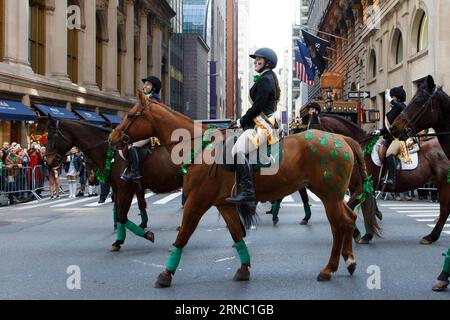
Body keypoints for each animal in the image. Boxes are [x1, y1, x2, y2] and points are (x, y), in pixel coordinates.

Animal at [44, 119, 181, 251]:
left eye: (51, 137)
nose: (47, 161)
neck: (110, 153)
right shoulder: (118, 188)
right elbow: (121, 210)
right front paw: (119, 239)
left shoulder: (126, 189)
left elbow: (122, 215)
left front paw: (144, 235)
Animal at [109, 92, 380, 288]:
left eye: (131, 115)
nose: (112, 138)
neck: (201, 147)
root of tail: (342, 139)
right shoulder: (223, 203)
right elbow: (236, 234)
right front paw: (243, 268)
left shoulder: (196, 201)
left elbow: (183, 235)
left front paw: (166, 273)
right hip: (333, 195)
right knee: (349, 219)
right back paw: (348, 260)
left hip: (329, 195)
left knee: (339, 224)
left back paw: (329, 268)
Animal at [314, 112, 450, 245]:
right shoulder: (361, 189)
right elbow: (362, 209)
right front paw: (365, 234)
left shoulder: (362, 187)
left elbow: (350, 208)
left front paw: (359, 233)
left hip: (444, 183)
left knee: (444, 210)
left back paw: (431, 236)